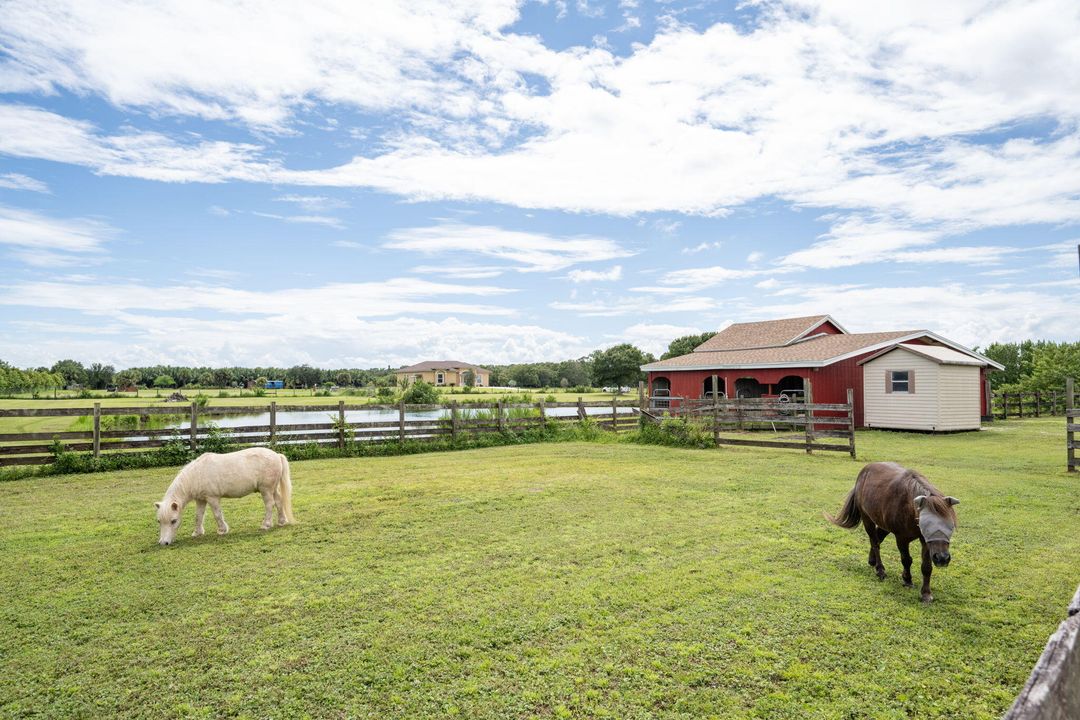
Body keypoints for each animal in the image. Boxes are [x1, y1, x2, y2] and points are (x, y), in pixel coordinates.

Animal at [154, 446, 293, 544]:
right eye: (159, 521)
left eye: (173, 521)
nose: (164, 543)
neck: (197, 474)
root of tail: (277, 455)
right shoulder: (200, 500)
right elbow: (198, 516)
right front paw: (197, 533)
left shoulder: (212, 498)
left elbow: (217, 515)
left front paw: (222, 530)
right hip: (272, 489)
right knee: (279, 502)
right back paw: (281, 521)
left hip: (266, 490)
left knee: (270, 504)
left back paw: (266, 525)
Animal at [829, 462, 959, 604]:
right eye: (928, 525)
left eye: (951, 526)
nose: (942, 558)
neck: (909, 506)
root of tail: (865, 470)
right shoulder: (901, 538)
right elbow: (906, 560)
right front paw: (907, 579)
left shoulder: (925, 540)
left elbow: (926, 567)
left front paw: (926, 593)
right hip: (867, 518)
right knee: (875, 542)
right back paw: (880, 570)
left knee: (878, 538)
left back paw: (872, 561)